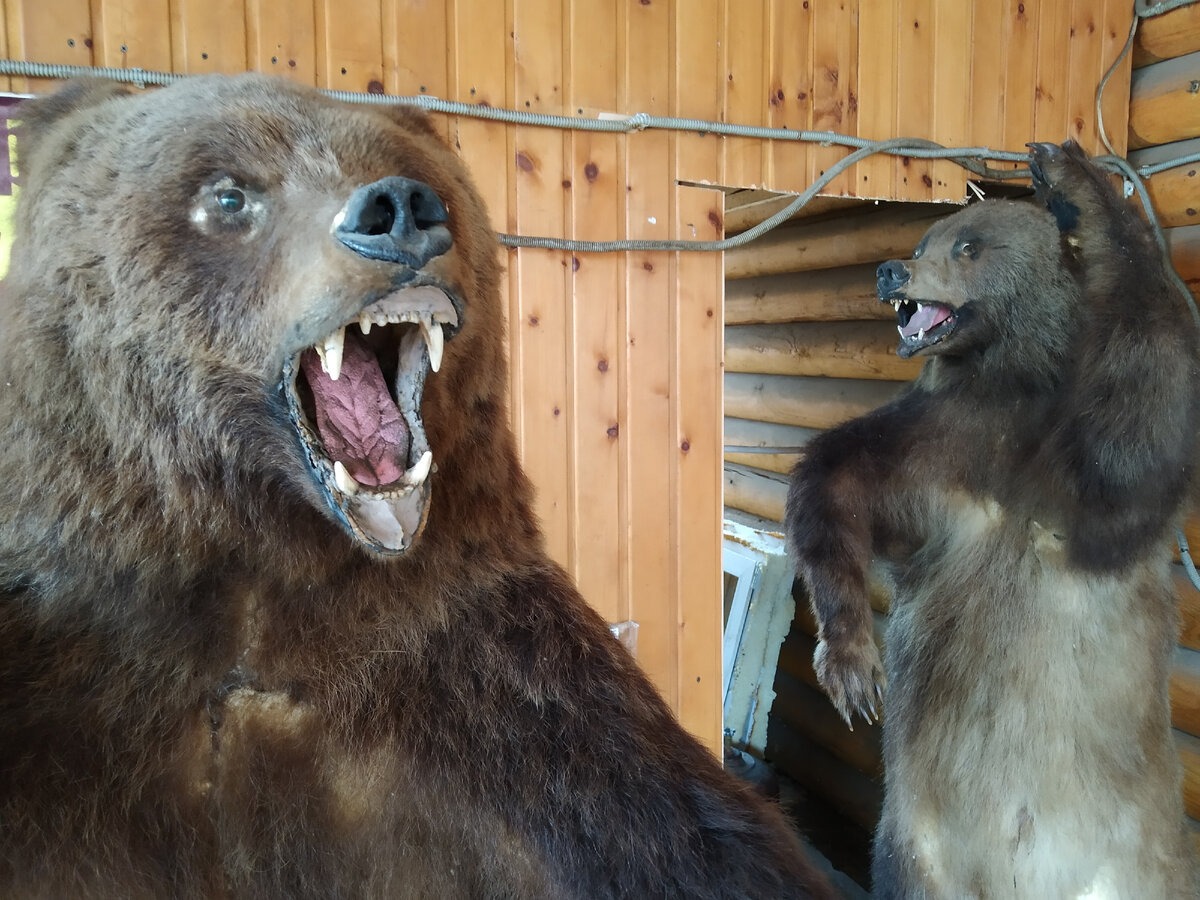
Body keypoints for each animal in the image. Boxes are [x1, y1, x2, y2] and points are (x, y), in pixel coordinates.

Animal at [0, 75, 834, 899]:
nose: (398, 211)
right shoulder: (79, 686)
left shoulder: (486, 680)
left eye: (425, 179)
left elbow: (674, 823)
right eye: (228, 194)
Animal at [784, 141, 1200, 898]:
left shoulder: (1069, 471)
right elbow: (838, 477)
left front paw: (1071, 180)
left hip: (1139, 862)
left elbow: (1135, 434)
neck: (1012, 376)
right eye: (925, 239)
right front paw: (853, 665)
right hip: (917, 841)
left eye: (969, 246)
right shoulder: (943, 452)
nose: (892, 269)